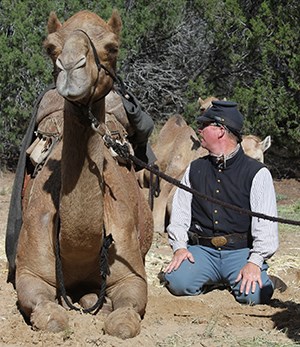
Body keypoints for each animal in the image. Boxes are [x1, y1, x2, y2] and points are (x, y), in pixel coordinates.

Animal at [13, 10, 154, 340]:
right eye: (50, 47)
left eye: (112, 47)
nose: (70, 67)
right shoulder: (29, 273)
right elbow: (51, 316)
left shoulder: (133, 276)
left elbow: (123, 321)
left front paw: (103, 307)